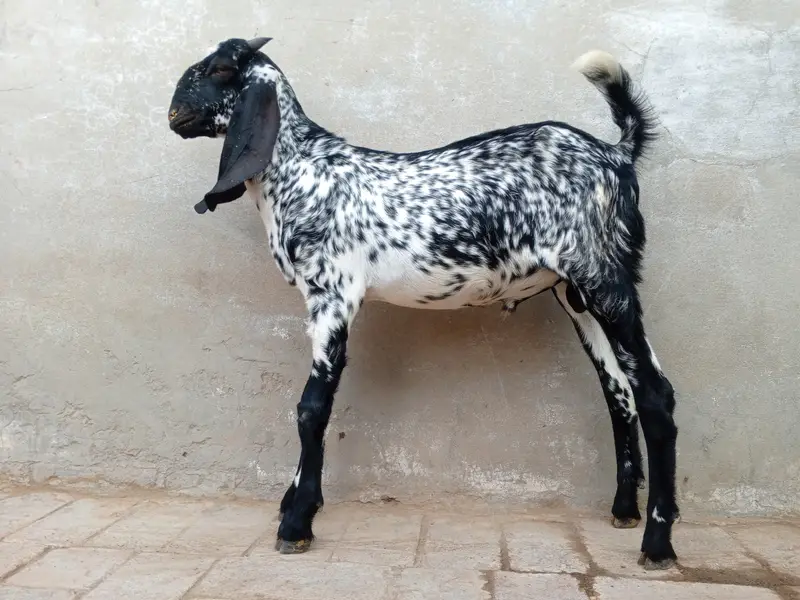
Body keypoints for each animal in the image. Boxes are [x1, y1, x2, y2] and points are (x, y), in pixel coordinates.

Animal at [168, 37, 679, 569]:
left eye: (220, 68)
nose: (175, 112)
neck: (301, 170)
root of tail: (617, 153)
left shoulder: (333, 294)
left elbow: (312, 407)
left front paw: (297, 521)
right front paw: (293, 503)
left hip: (604, 278)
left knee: (655, 393)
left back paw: (658, 542)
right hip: (577, 294)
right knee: (619, 391)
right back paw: (624, 509)